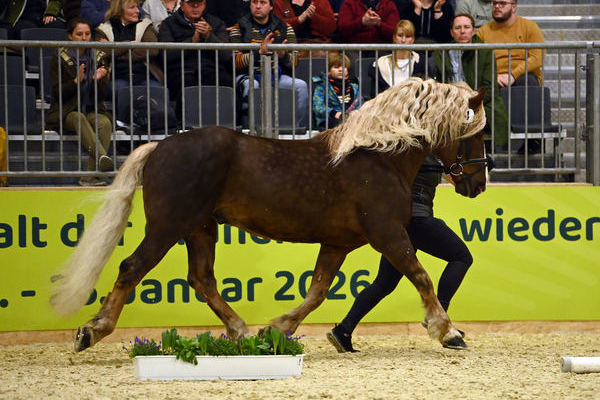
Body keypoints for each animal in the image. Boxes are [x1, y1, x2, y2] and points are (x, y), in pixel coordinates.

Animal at [51, 78, 490, 354]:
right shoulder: (388, 234)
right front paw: (447, 332)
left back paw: (243, 332)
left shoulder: (338, 243)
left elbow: (317, 291)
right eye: (476, 135)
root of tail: (158, 146)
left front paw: (278, 328)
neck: (378, 156)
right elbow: (421, 276)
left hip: (200, 228)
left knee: (201, 279)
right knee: (132, 267)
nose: (477, 184)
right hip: (167, 227)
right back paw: (91, 331)